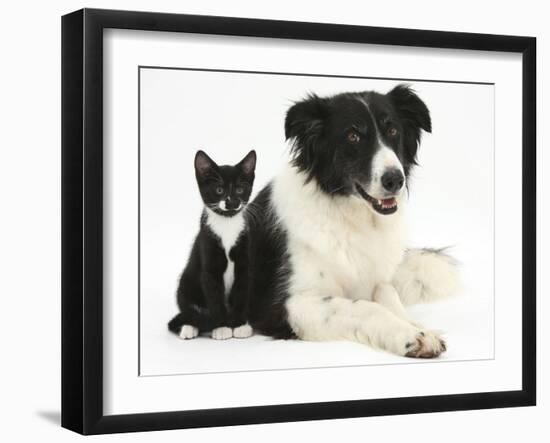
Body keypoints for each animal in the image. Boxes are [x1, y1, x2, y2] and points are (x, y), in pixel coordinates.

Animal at [167, 151, 258, 342]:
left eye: (240, 189)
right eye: (219, 190)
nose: (232, 202)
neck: (227, 224)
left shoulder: (244, 263)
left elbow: (241, 293)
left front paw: (239, 325)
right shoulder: (209, 263)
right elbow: (215, 297)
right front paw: (222, 327)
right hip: (185, 283)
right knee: (188, 309)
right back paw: (189, 327)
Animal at [248, 85, 460, 360]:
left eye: (393, 130)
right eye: (352, 136)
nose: (395, 179)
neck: (353, 219)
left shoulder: (378, 280)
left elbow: (389, 298)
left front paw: (417, 328)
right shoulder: (288, 304)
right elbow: (365, 307)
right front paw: (409, 336)